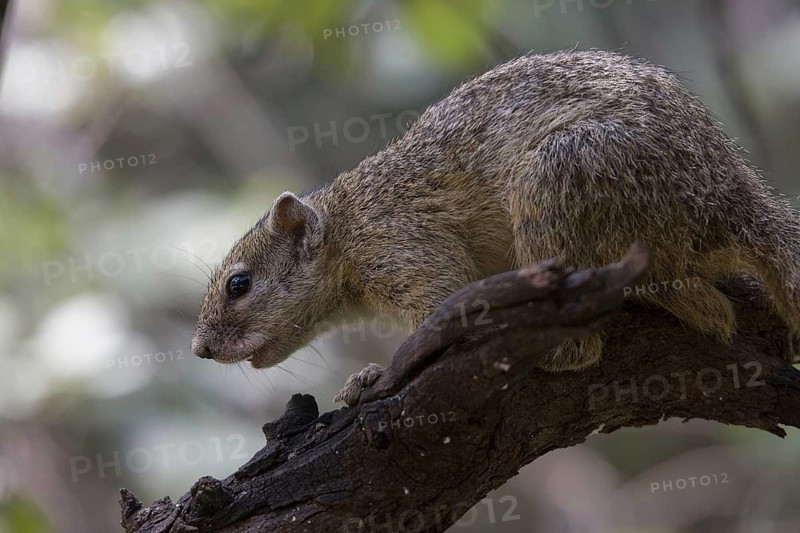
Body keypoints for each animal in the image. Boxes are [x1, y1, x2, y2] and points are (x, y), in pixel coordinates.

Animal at [191, 50, 800, 405]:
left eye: (239, 284)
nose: (199, 350)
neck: (347, 225)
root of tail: (732, 199)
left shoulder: (400, 247)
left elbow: (443, 305)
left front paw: (373, 376)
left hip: (559, 182)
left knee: (592, 339)